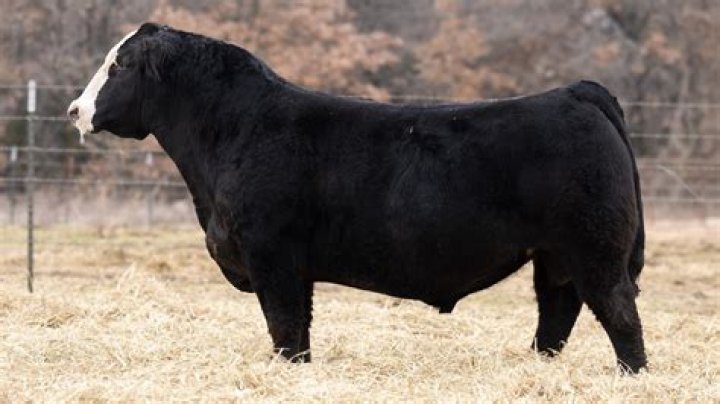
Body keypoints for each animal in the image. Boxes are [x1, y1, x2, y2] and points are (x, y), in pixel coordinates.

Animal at [68, 23, 647, 373]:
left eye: (119, 66)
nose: (75, 110)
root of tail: (574, 92)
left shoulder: (271, 254)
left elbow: (283, 324)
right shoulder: (293, 266)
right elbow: (298, 328)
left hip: (595, 248)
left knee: (619, 313)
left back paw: (630, 376)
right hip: (554, 257)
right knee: (557, 314)